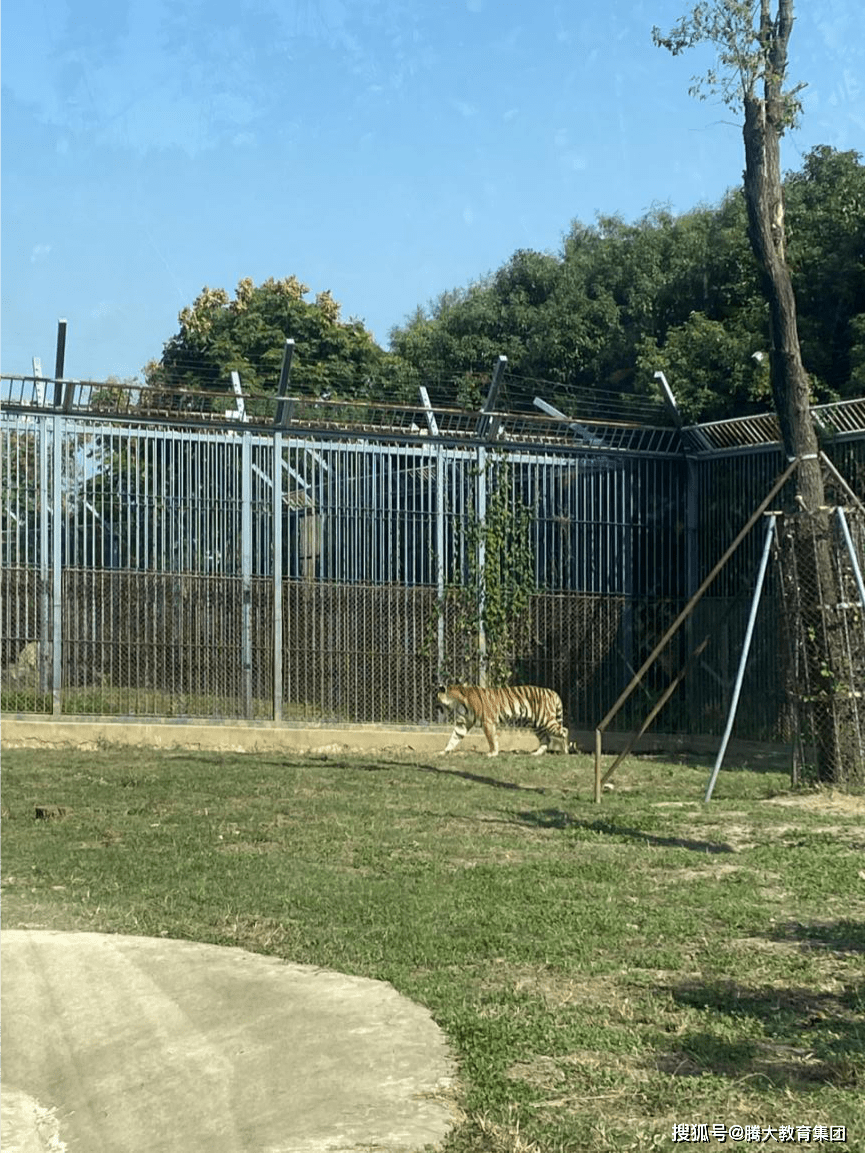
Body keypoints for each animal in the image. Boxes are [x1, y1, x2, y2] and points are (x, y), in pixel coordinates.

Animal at [435, 682, 571, 756]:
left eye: (437, 698)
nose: (435, 706)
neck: (457, 702)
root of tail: (553, 692)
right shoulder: (462, 724)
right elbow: (453, 738)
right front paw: (443, 752)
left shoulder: (487, 721)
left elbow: (491, 738)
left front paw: (492, 753)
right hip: (536, 724)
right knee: (546, 739)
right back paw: (536, 753)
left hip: (546, 719)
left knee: (564, 730)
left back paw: (565, 751)